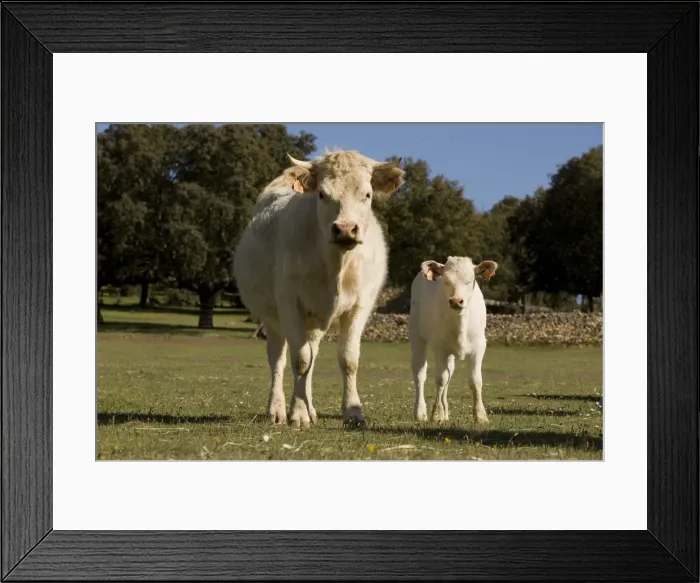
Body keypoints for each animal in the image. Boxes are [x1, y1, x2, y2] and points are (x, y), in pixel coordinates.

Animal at [233, 150, 405, 429]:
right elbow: (299, 360)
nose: (345, 229)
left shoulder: (359, 307)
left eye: (367, 194)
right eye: (322, 194)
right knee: (278, 359)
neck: (336, 266)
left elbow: (348, 360)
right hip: (273, 319)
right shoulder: (289, 303)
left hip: (313, 322)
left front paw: (353, 413)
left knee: (311, 356)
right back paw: (277, 410)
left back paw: (311, 409)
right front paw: (298, 414)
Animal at [408, 256, 498, 424]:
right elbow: (440, 379)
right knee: (420, 374)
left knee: (449, 375)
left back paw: (445, 413)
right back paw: (420, 412)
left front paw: (480, 416)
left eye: (470, 280)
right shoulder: (439, 347)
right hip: (416, 336)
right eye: (446, 281)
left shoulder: (479, 347)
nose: (456, 301)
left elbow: (475, 381)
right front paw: (436, 414)